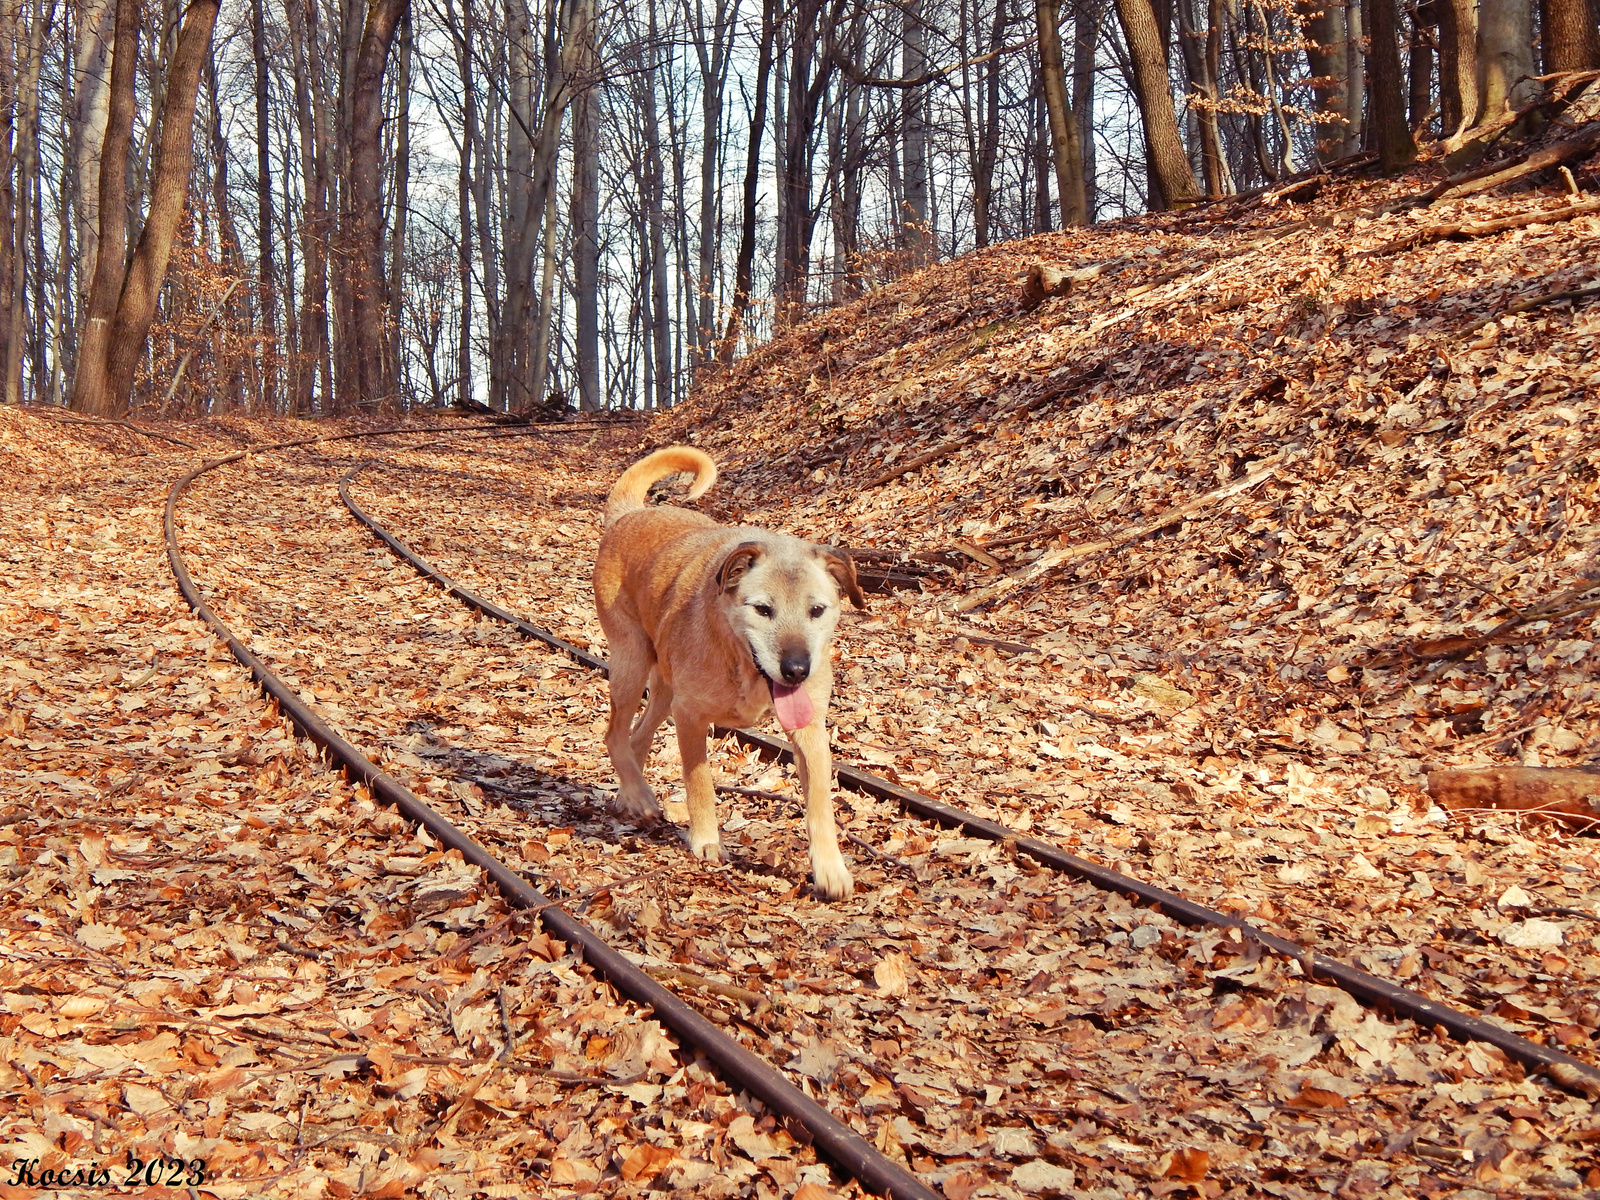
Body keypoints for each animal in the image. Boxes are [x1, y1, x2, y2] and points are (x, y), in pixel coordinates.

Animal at [592, 448, 864, 896]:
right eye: (762, 609)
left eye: (817, 610)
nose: (797, 670)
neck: (743, 667)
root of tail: (630, 514)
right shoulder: (690, 717)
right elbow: (700, 783)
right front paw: (706, 841)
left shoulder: (810, 729)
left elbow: (820, 802)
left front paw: (830, 868)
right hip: (631, 665)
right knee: (614, 734)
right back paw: (641, 796)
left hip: (663, 689)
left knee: (635, 738)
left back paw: (631, 795)